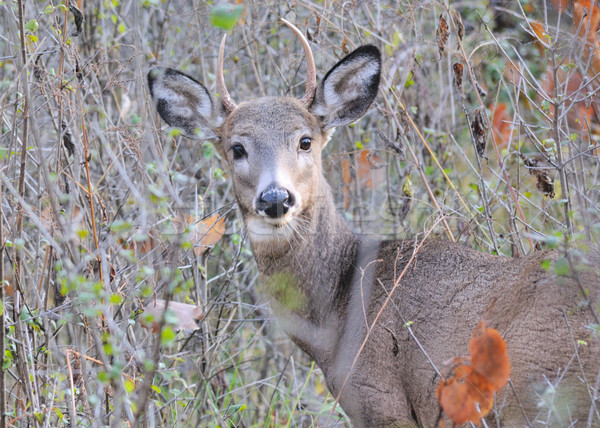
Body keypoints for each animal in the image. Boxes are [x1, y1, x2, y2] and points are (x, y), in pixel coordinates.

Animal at [146, 20, 600, 428]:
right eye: (236, 147)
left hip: (540, 394)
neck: (338, 307)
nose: (275, 198)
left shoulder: (381, 400)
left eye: (305, 140)